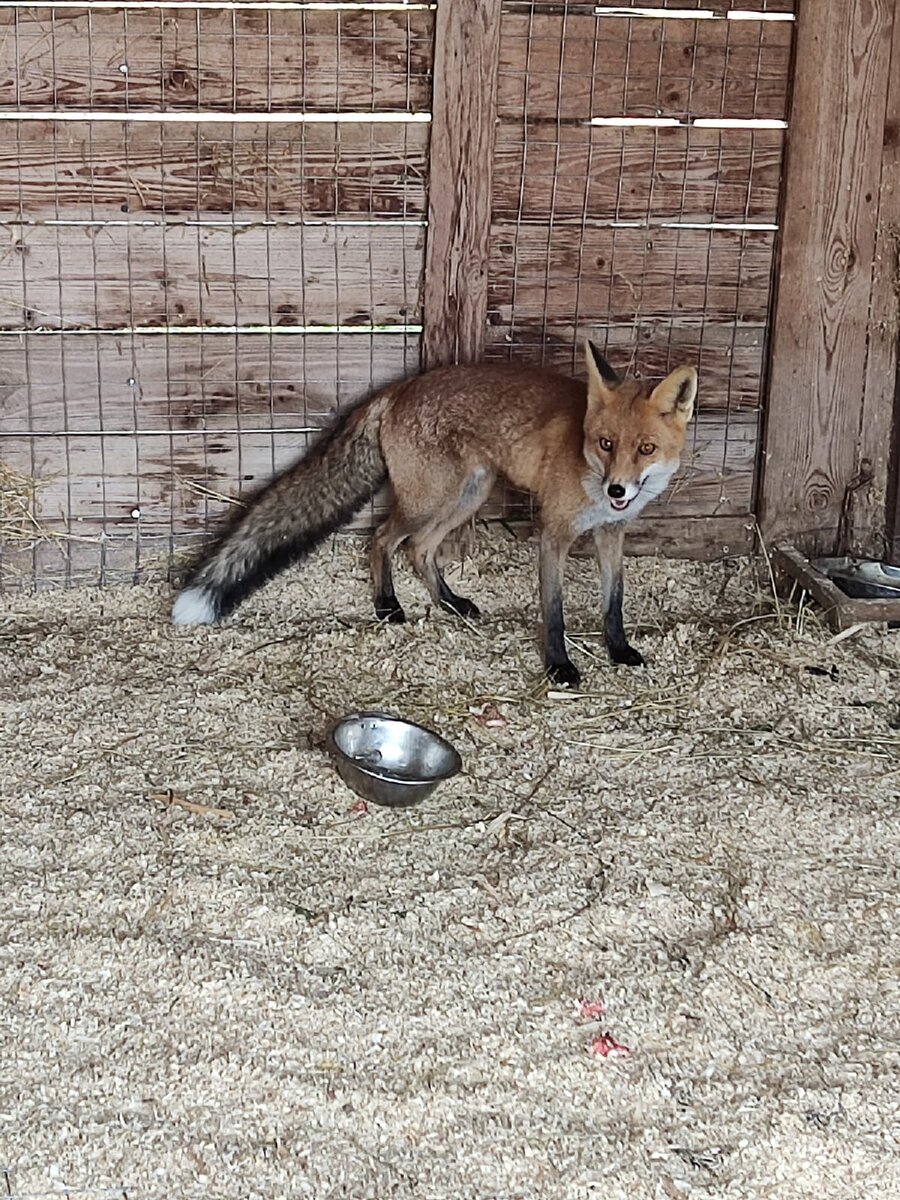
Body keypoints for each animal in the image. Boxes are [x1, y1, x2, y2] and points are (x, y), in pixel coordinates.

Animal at [174, 343, 696, 691]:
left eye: (646, 449)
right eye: (606, 443)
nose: (617, 489)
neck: (589, 477)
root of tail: (401, 386)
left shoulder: (612, 534)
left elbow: (614, 603)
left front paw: (619, 650)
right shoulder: (553, 534)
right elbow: (554, 612)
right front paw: (558, 666)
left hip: (467, 495)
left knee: (420, 549)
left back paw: (449, 602)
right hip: (430, 499)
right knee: (383, 538)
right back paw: (386, 605)